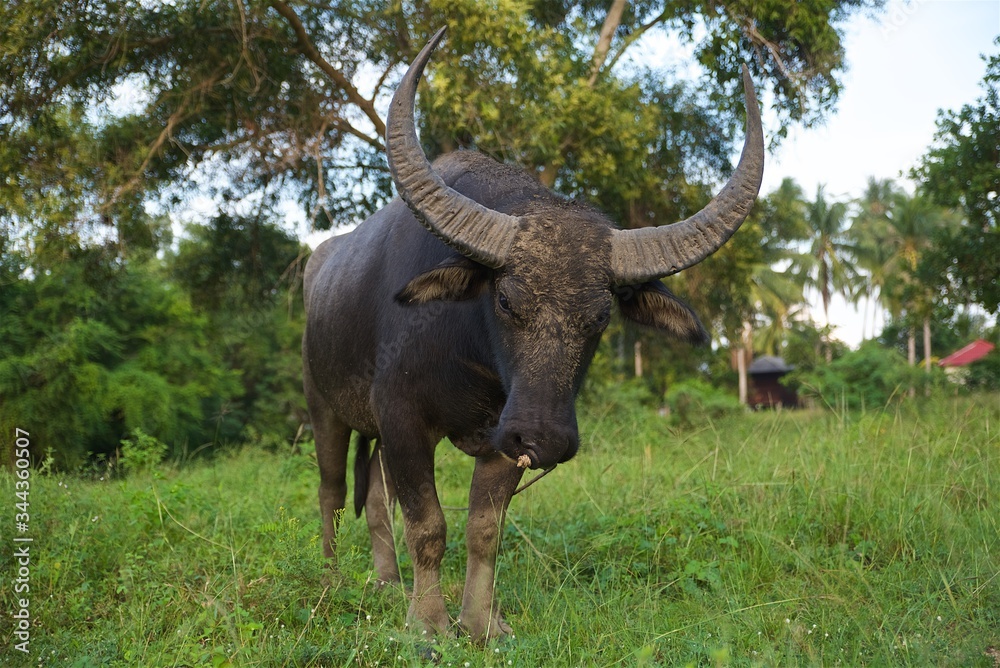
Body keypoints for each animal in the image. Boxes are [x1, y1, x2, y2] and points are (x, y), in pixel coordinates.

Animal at [302, 27, 763, 642]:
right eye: (504, 299)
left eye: (601, 316)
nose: (547, 439)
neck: (471, 358)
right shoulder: (403, 417)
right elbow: (428, 523)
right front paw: (428, 624)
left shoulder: (503, 434)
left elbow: (483, 529)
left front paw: (480, 623)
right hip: (324, 407)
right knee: (331, 491)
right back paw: (333, 578)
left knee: (374, 497)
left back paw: (386, 582)